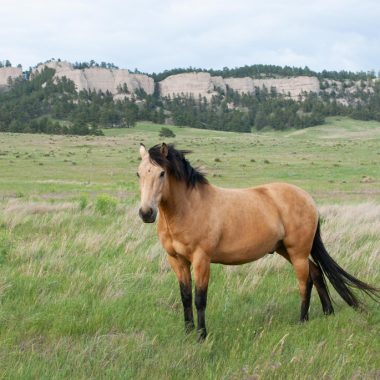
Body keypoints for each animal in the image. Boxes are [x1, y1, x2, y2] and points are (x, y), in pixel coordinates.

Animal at [137, 143, 380, 342]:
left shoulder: (201, 260)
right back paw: (328, 312)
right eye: (138, 173)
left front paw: (201, 336)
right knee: (316, 272)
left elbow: (199, 299)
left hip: (298, 252)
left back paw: (303, 320)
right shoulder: (177, 261)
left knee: (305, 281)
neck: (189, 207)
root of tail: (308, 199)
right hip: (285, 250)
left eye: (161, 173)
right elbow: (186, 297)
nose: (146, 213)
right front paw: (188, 333)